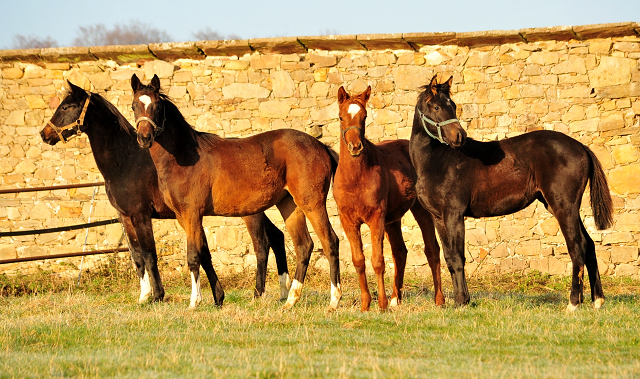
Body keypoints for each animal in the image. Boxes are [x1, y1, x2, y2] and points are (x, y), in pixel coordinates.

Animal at [39, 81, 290, 304]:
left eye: (66, 107)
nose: (44, 133)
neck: (126, 160)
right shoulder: (126, 217)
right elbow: (139, 256)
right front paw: (144, 296)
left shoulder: (142, 215)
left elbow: (150, 254)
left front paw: (158, 296)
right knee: (277, 237)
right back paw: (282, 293)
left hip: (251, 213)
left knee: (262, 245)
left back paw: (258, 294)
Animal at [127, 75, 342, 312]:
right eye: (134, 106)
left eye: (157, 106)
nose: (144, 138)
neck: (184, 157)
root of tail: (321, 146)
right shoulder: (184, 218)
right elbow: (204, 253)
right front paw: (217, 298)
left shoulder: (192, 214)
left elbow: (193, 256)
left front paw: (195, 302)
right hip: (290, 205)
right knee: (304, 245)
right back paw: (291, 300)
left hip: (312, 203)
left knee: (330, 241)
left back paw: (334, 301)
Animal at [332, 87, 442, 314]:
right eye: (341, 117)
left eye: (364, 117)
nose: (355, 147)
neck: (356, 177)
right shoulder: (348, 221)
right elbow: (358, 260)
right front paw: (366, 304)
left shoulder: (376, 218)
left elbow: (377, 261)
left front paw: (381, 305)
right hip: (393, 219)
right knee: (400, 252)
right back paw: (395, 299)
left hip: (420, 211)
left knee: (432, 250)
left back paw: (439, 300)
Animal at [410, 75, 616, 312]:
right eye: (436, 106)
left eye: (452, 105)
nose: (459, 136)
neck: (437, 161)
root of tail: (581, 147)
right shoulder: (439, 218)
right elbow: (449, 258)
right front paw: (460, 300)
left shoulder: (454, 214)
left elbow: (457, 257)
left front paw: (463, 301)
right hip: (563, 206)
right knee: (589, 244)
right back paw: (597, 300)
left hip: (563, 206)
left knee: (577, 246)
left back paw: (573, 303)